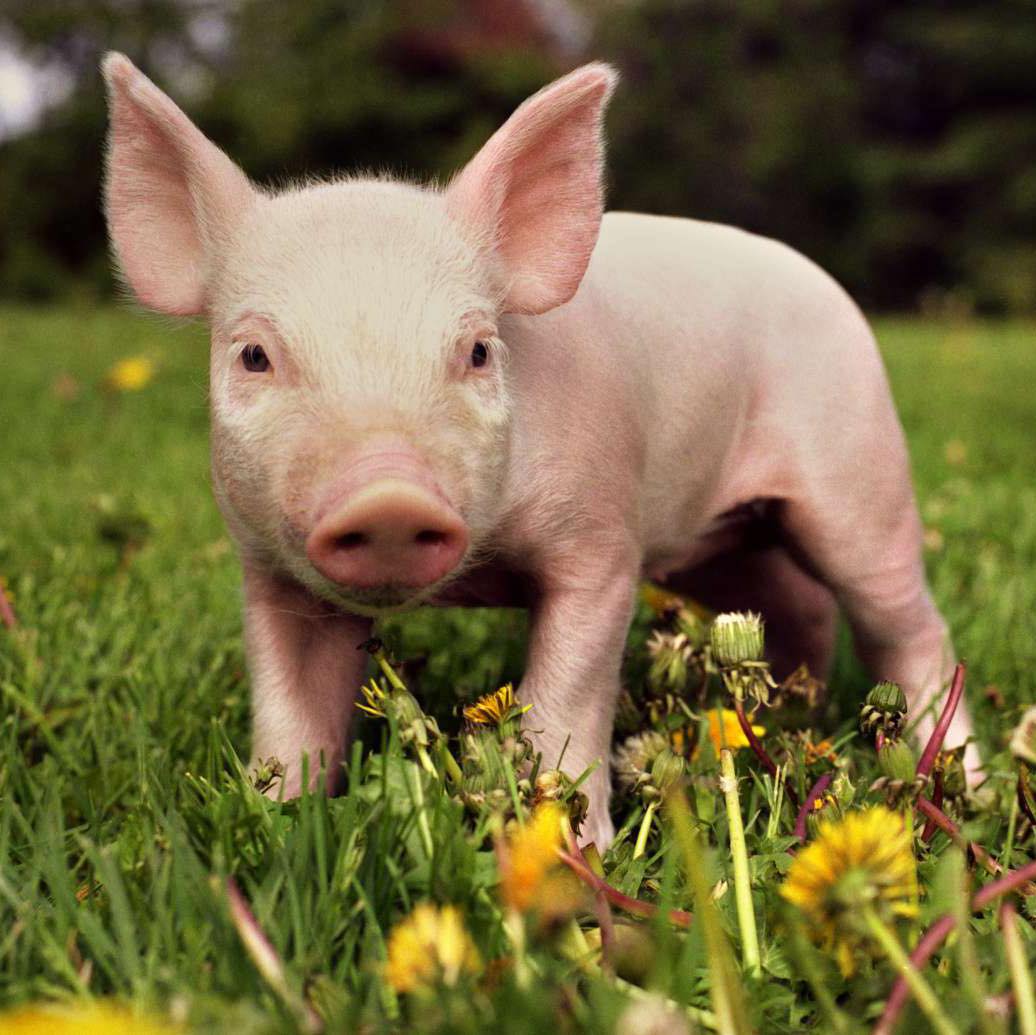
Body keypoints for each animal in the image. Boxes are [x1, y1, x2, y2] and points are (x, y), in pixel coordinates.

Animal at [101, 52, 977, 847]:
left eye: (479, 350)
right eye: (254, 355)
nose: (389, 497)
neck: (476, 579)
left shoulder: (603, 541)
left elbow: (567, 690)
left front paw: (571, 847)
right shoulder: (268, 570)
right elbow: (292, 712)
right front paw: (274, 824)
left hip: (860, 473)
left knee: (907, 625)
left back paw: (958, 774)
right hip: (726, 541)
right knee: (796, 605)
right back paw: (787, 720)